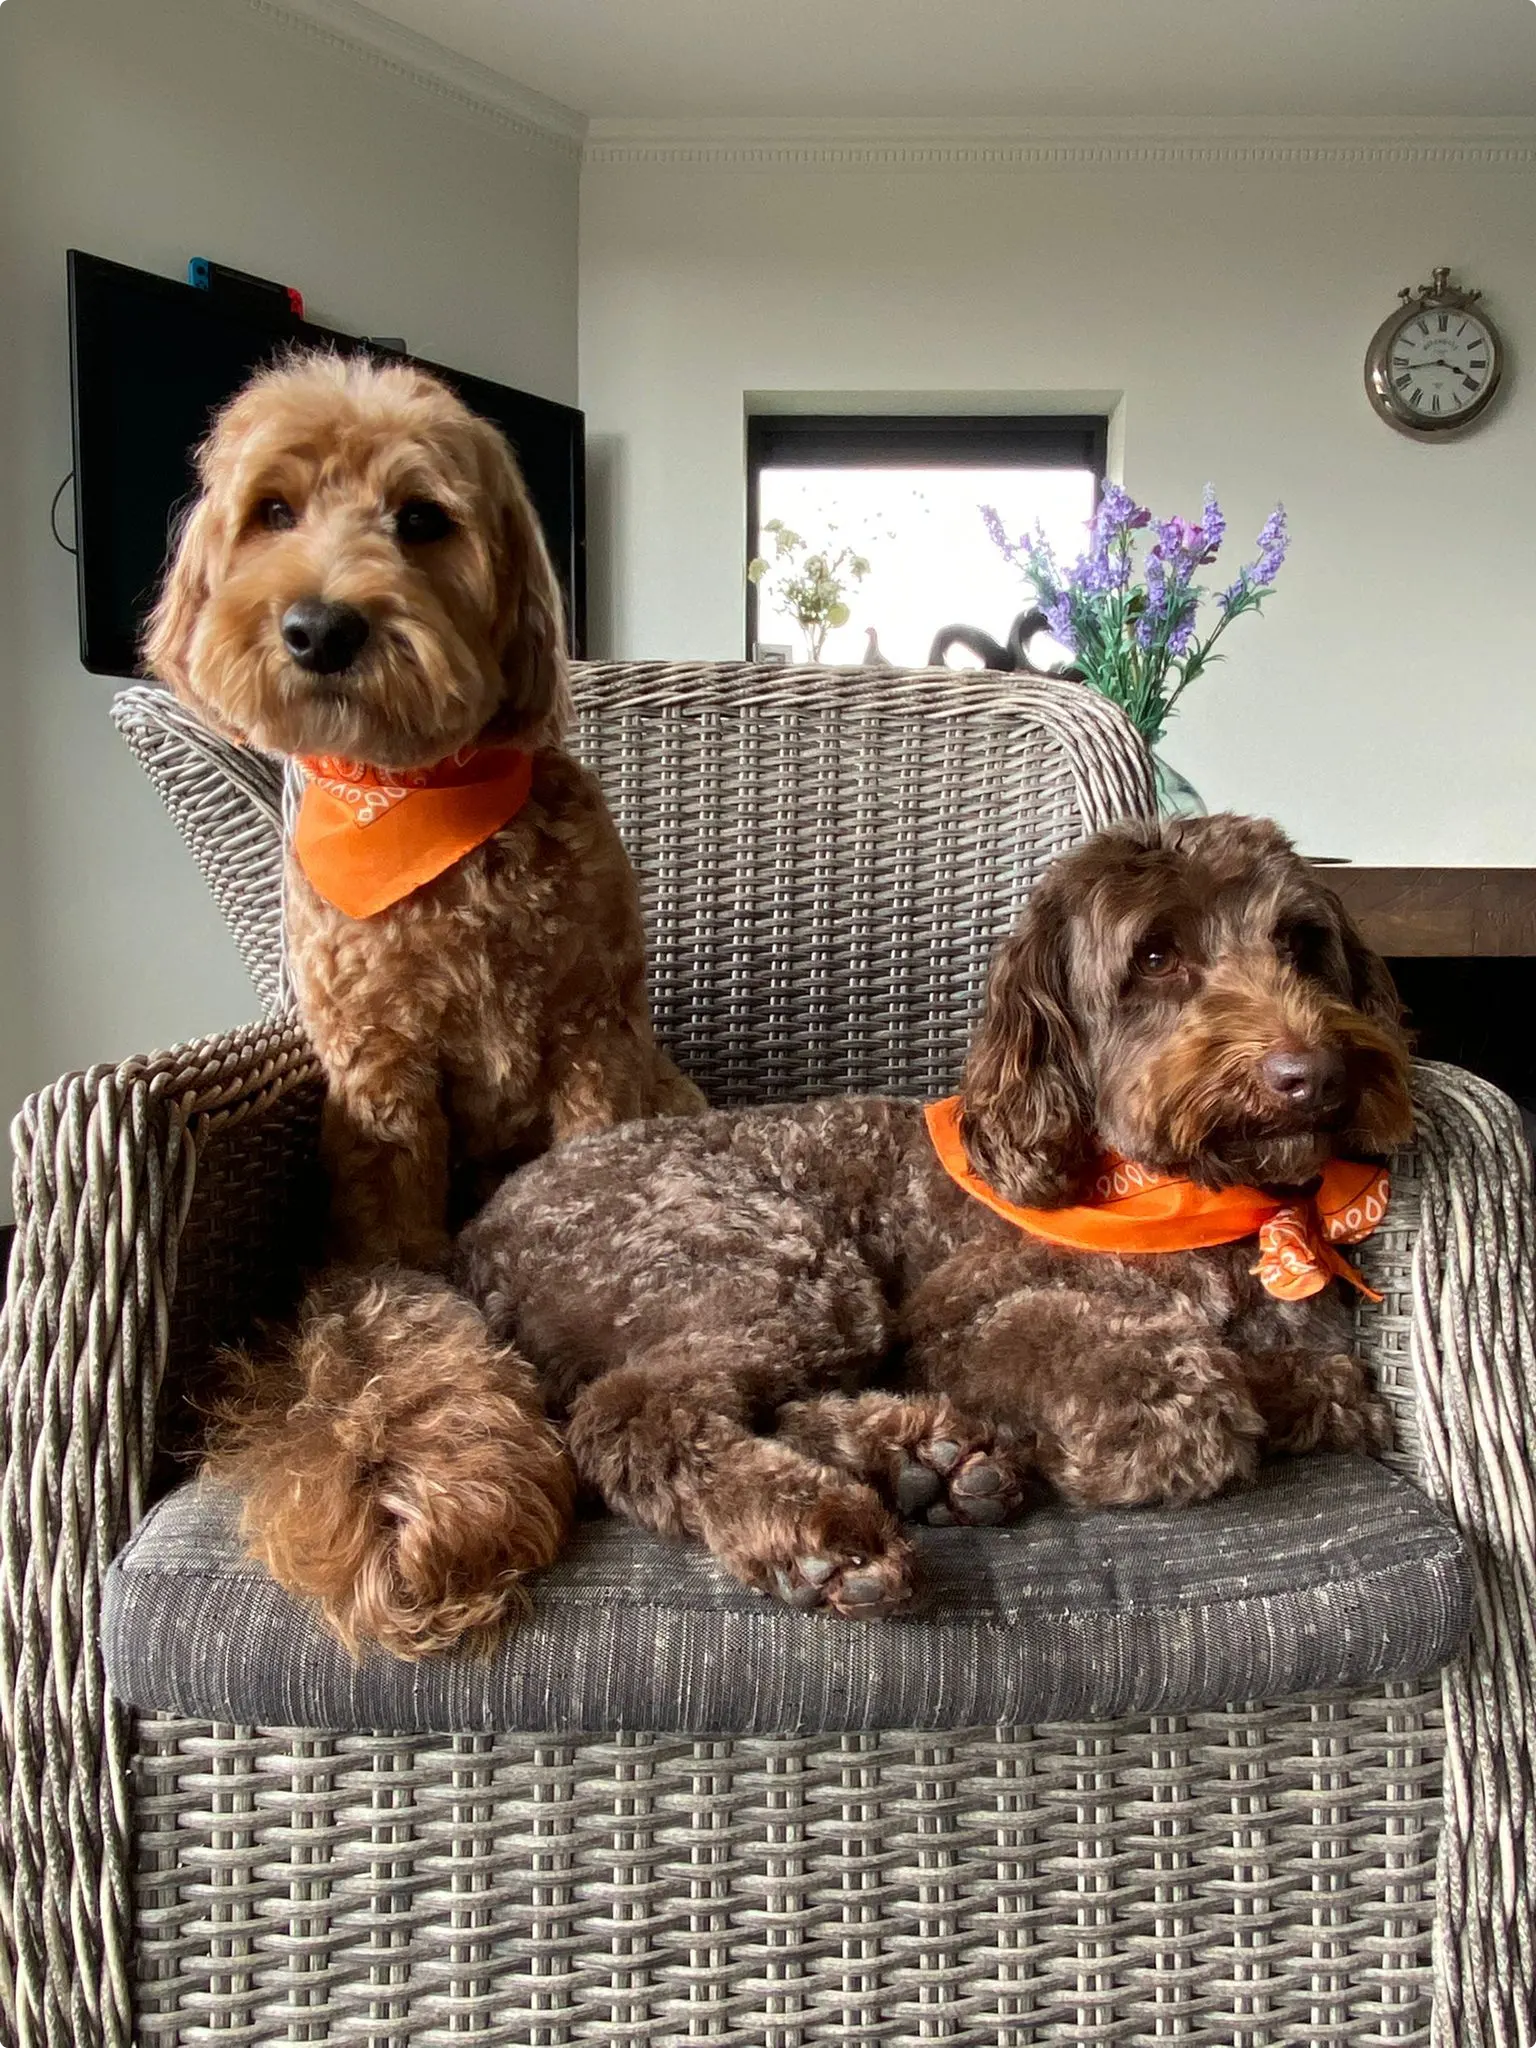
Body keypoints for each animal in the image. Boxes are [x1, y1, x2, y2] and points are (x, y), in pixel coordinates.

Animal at [145, 349, 703, 1272]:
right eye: (273, 513)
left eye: (420, 519)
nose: (321, 629)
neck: (414, 799)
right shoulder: (382, 1065)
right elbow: (392, 1212)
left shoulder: (593, 1031)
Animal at [215, 812, 1412, 1646]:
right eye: (1155, 958)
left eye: (1301, 943)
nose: (1313, 1074)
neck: (1187, 1195)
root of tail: (478, 1234)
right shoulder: (959, 1320)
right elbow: (1153, 1379)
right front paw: (1178, 1405)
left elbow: (1327, 1384)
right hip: (777, 1259)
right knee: (636, 1412)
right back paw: (824, 1534)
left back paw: (929, 1461)